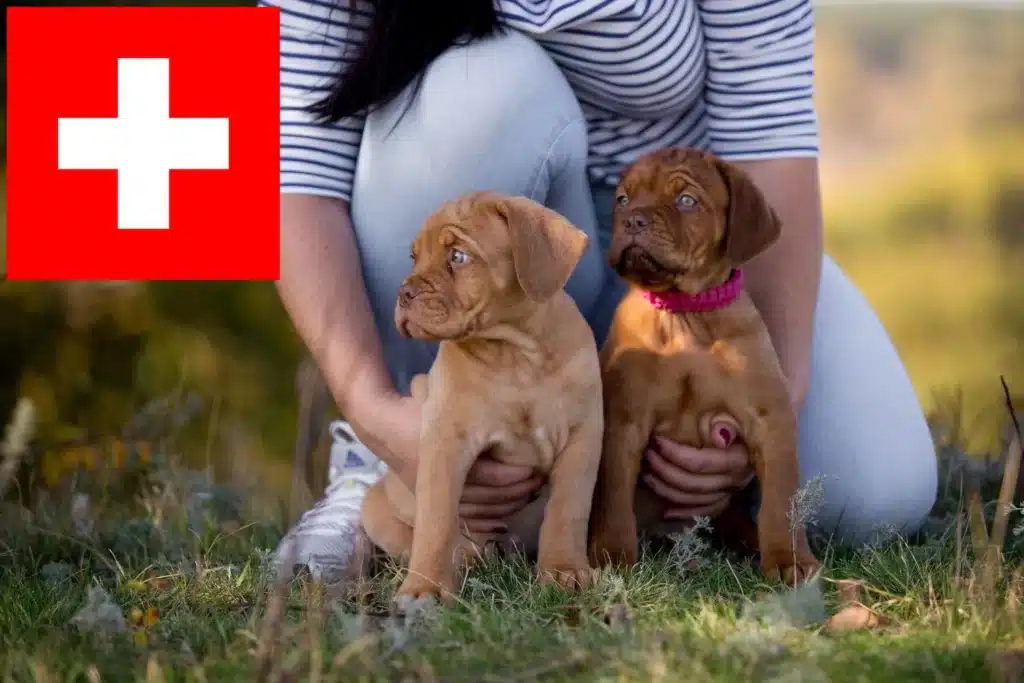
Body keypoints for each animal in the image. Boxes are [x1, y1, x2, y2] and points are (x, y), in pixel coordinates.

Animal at [360, 188, 602, 610]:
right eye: (414, 258)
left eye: (458, 257)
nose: (404, 293)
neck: (515, 356)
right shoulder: (446, 442)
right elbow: (436, 521)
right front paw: (423, 587)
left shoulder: (582, 438)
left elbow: (567, 510)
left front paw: (563, 572)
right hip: (375, 506)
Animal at [589, 147, 819, 585]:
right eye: (622, 200)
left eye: (686, 201)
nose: (633, 220)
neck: (685, 313)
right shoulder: (623, 420)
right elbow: (613, 496)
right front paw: (611, 554)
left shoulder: (771, 419)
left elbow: (780, 499)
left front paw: (789, 560)